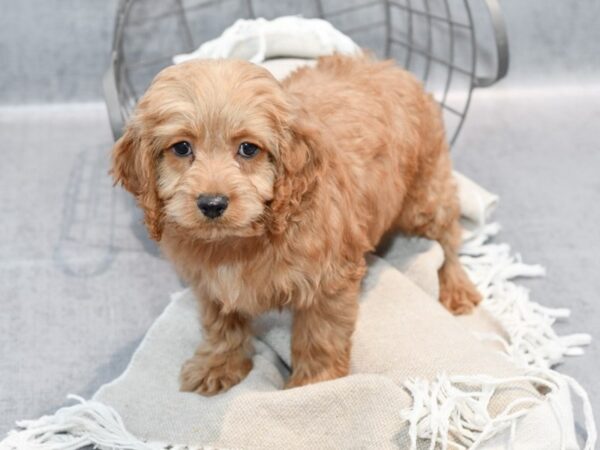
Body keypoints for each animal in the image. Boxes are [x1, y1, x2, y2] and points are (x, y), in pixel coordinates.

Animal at [111, 54, 478, 396]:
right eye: (182, 147)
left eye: (248, 149)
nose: (212, 203)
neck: (239, 242)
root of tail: (390, 65)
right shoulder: (208, 284)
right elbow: (221, 325)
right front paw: (218, 365)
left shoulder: (328, 284)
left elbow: (319, 338)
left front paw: (313, 386)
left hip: (424, 198)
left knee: (449, 237)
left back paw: (457, 288)